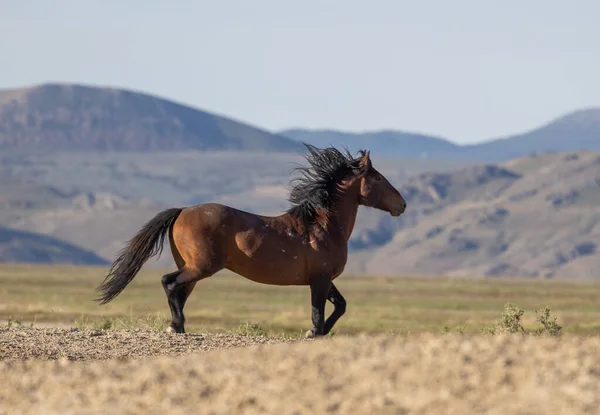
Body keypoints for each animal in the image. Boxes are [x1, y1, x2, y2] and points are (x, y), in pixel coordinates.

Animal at [97, 146, 408, 338]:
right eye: (378, 178)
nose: (402, 205)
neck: (322, 225)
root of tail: (182, 210)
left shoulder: (323, 278)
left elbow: (340, 306)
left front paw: (319, 332)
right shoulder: (319, 279)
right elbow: (318, 313)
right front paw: (313, 333)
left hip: (192, 268)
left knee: (179, 291)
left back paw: (178, 326)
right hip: (201, 267)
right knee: (169, 283)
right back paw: (177, 327)